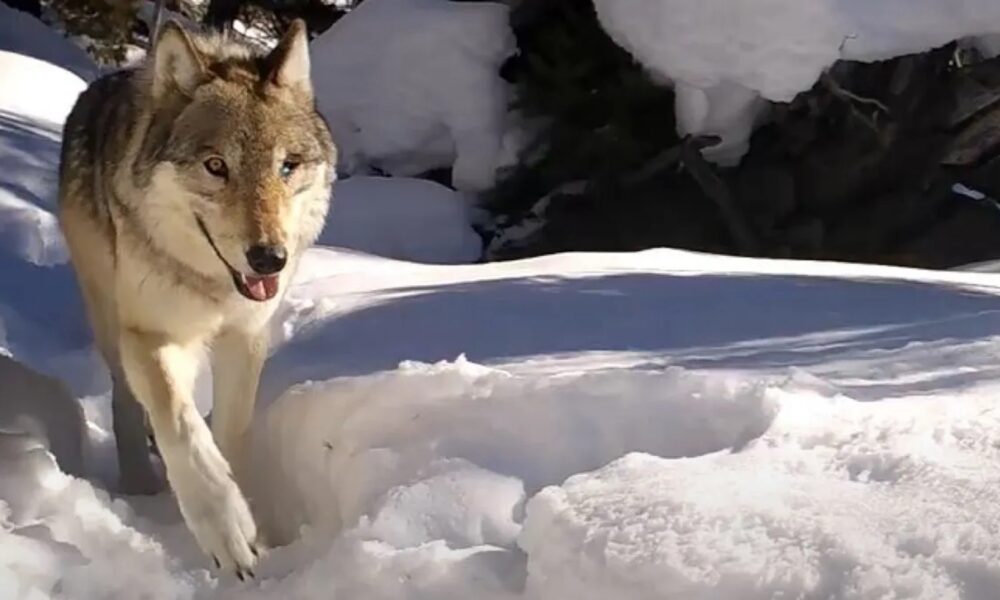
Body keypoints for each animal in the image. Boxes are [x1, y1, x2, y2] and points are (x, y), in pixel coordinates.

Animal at [57, 18, 336, 576]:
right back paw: (140, 482)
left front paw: (254, 525)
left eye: (288, 166)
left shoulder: (245, 337)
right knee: (128, 398)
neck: (213, 286)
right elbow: (182, 427)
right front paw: (226, 530)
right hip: (110, 316)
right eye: (216, 166)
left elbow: (229, 432)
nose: (269, 259)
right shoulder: (149, 333)